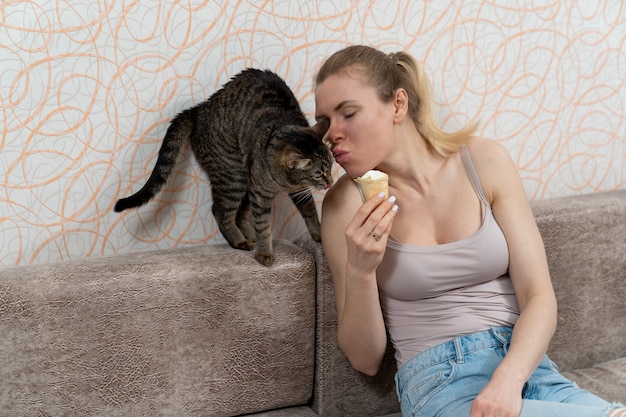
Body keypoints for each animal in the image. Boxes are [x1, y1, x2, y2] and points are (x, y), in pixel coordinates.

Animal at [115, 68, 334, 264]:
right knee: (221, 211)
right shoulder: (260, 194)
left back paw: (247, 236)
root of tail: (200, 109)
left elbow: (310, 211)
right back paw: (239, 241)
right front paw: (265, 252)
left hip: (243, 180)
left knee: (240, 213)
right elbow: (263, 225)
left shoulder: (297, 190)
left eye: (331, 167)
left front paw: (318, 234)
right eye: (318, 174)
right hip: (234, 176)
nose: (330, 182)